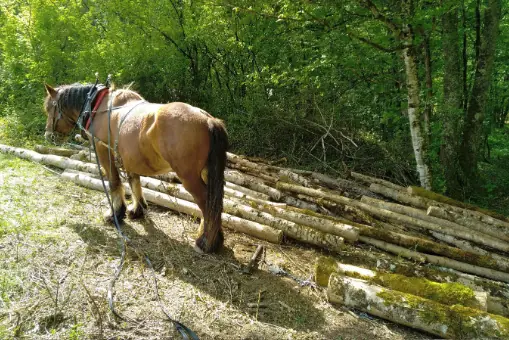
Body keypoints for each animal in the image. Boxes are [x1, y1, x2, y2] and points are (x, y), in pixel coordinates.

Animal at [42, 82, 227, 252]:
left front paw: (115, 214)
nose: (48, 135)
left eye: (50, 108)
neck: (99, 108)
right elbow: (134, 181)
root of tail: (207, 119)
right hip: (205, 173)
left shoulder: (103, 150)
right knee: (213, 202)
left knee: (207, 203)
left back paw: (206, 242)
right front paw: (137, 209)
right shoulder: (129, 156)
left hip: (189, 177)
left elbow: (114, 182)